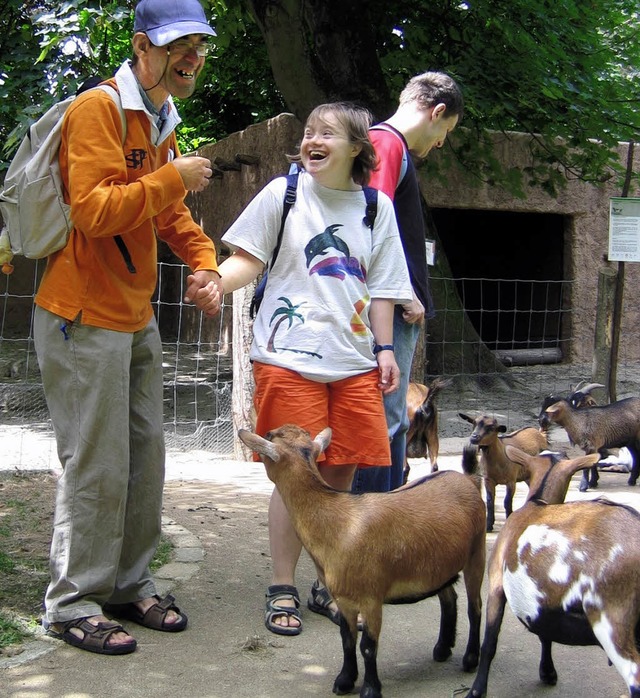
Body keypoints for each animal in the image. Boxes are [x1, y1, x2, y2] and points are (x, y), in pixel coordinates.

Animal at [464, 446, 640, 696]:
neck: (537, 502)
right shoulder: (545, 600)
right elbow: (545, 635)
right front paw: (548, 672)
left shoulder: (496, 583)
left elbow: (489, 642)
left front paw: (476, 690)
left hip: (612, 615)